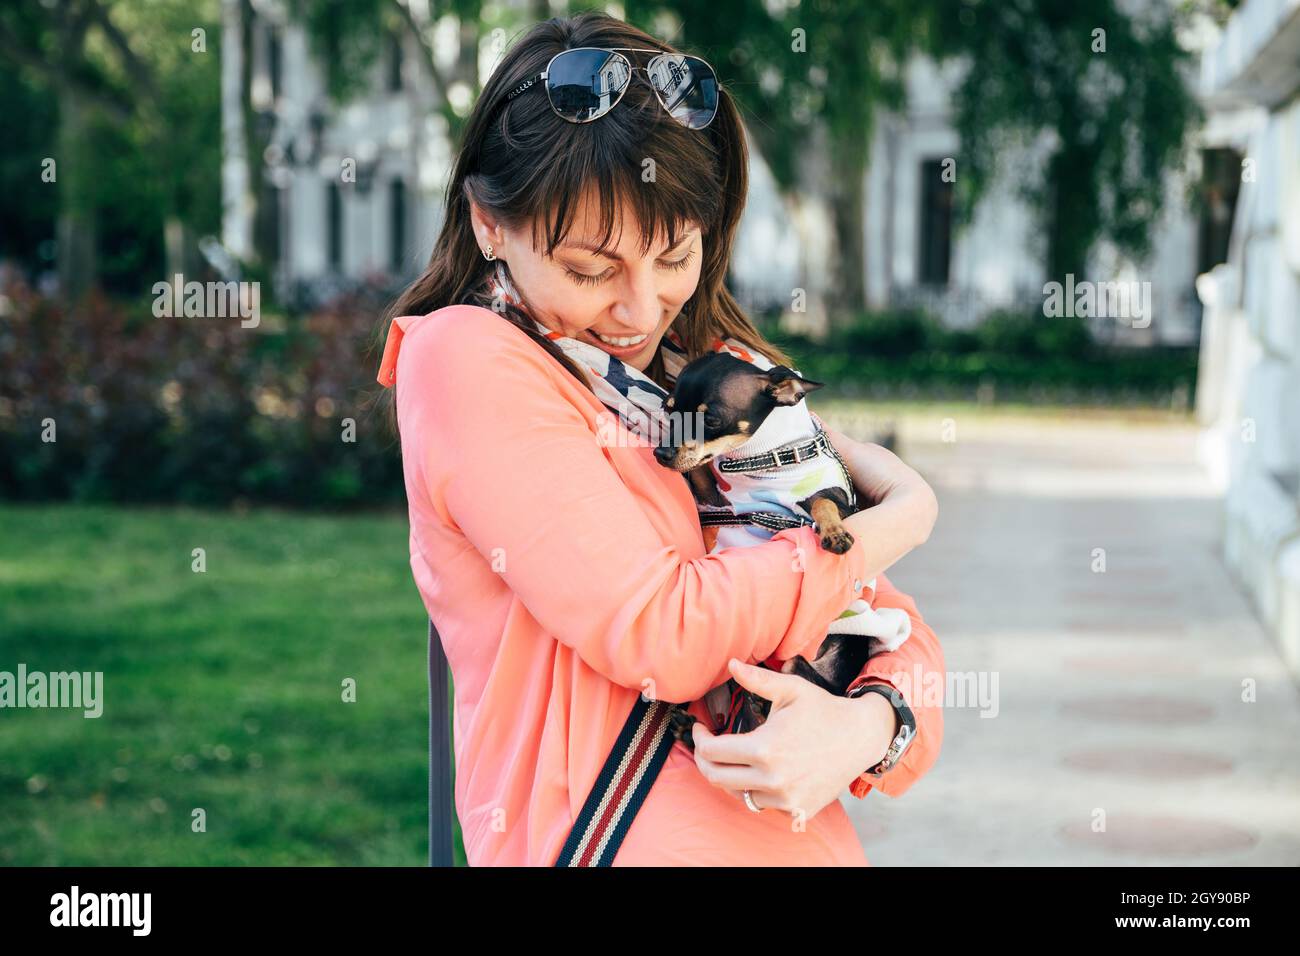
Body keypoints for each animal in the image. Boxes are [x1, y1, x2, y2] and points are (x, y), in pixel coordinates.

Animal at [655, 351, 878, 738]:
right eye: (669, 409)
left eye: (710, 419)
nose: (661, 453)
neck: (765, 454)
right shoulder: (715, 498)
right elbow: (699, 470)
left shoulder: (841, 501)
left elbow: (823, 503)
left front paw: (834, 533)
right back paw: (690, 726)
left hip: (796, 669)